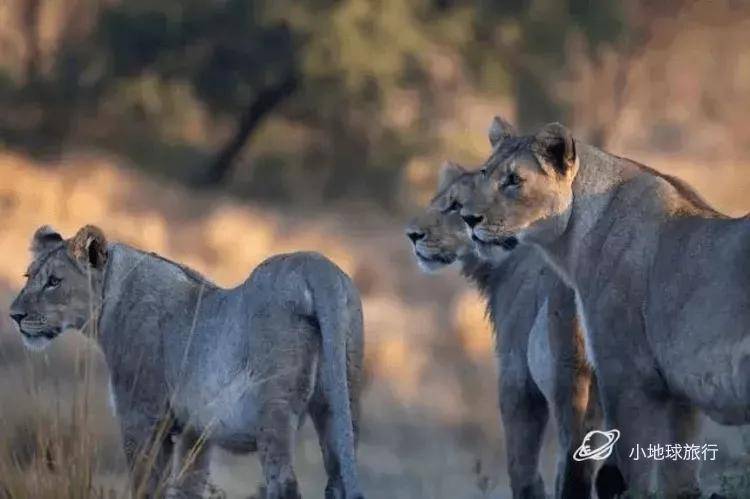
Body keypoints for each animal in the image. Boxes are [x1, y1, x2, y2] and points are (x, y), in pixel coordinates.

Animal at [9, 227, 368, 499]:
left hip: (273, 407)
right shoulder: (194, 430)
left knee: (285, 483)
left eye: (54, 281)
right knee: (338, 479)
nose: (14, 315)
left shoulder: (142, 418)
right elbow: (187, 486)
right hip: (339, 401)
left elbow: (146, 485)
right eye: (28, 275)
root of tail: (316, 265)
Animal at [406, 162, 604, 498]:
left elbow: (521, 465)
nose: (412, 235)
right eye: (437, 199)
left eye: (456, 206)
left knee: (574, 464)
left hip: (570, 381)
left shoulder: (517, 375)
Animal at [462, 117, 750, 496]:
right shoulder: (680, 399)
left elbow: (632, 476)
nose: (468, 218)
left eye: (514, 180)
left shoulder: (627, 378)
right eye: (484, 172)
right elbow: (680, 480)